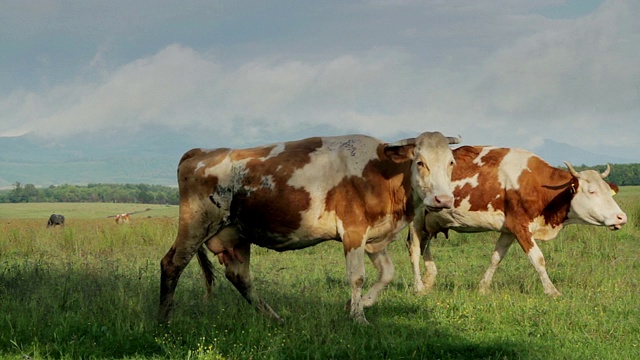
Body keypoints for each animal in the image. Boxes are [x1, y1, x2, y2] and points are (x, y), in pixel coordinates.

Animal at [160, 131, 460, 324]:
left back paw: (274, 317)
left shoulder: (374, 238)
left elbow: (387, 274)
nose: (443, 200)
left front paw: (357, 304)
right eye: (420, 162)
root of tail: (203, 152)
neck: (381, 172)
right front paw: (358, 317)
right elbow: (357, 277)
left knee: (240, 277)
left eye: (451, 163)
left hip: (236, 235)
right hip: (196, 224)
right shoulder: (353, 231)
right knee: (171, 264)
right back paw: (164, 320)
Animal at [408, 145, 628, 296]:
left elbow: (496, 258)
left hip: (431, 220)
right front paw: (552, 291)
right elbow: (538, 259)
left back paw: (429, 279)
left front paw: (482, 288)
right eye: (592, 191)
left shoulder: (508, 229)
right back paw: (419, 287)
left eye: (608, 191)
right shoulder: (519, 225)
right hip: (415, 218)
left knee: (425, 245)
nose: (622, 217)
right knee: (415, 249)